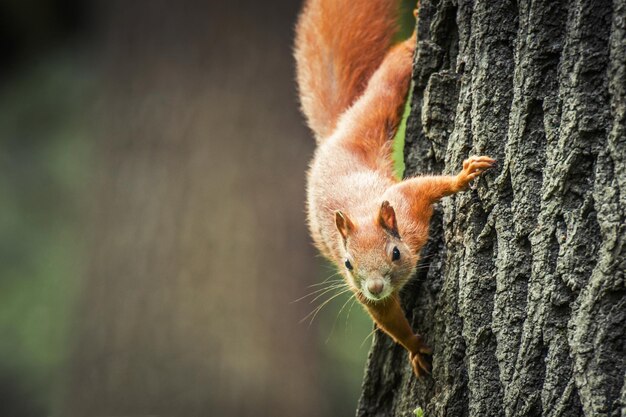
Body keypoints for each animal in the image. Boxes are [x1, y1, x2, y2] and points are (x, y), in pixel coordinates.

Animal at [294, 0, 494, 376]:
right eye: (348, 264)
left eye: (396, 253)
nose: (374, 285)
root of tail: (332, 137)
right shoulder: (364, 292)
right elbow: (388, 317)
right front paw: (415, 346)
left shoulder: (407, 204)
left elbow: (427, 186)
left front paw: (462, 177)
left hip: (370, 115)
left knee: (389, 79)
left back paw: (415, 36)